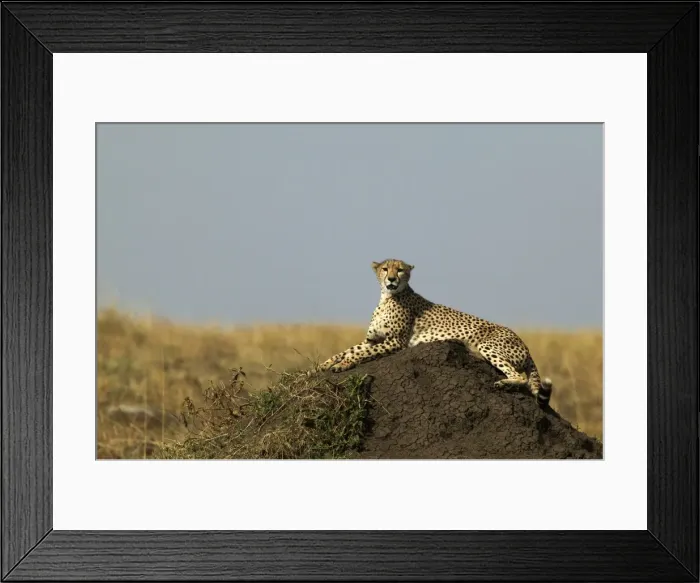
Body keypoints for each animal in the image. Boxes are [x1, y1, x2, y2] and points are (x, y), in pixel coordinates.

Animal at [318, 258, 553, 407]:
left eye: (400, 270)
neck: (387, 297)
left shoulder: (396, 342)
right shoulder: (371, 340)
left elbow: (359, 353)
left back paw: (502, 382)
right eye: (385, 269)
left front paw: (343, 365)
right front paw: (323, 366)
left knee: (519, 377)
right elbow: (349, 350)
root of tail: (525, 345)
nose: (392, 279)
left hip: (489, 345)